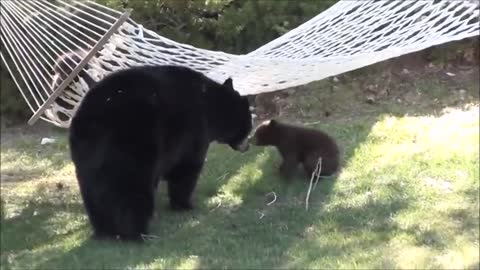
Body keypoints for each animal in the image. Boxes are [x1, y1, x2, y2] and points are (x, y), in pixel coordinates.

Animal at [70, 65, 255, 240]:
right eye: (248, 124)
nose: (247, 146)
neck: (210, 107)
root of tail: (93, 119)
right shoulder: (193, 132)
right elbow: (186, 170)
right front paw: (184, 205)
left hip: (85, 158)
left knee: (92, 192)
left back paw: (104, 230)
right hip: (133, 144)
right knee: (132, 190)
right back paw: (137, 233)